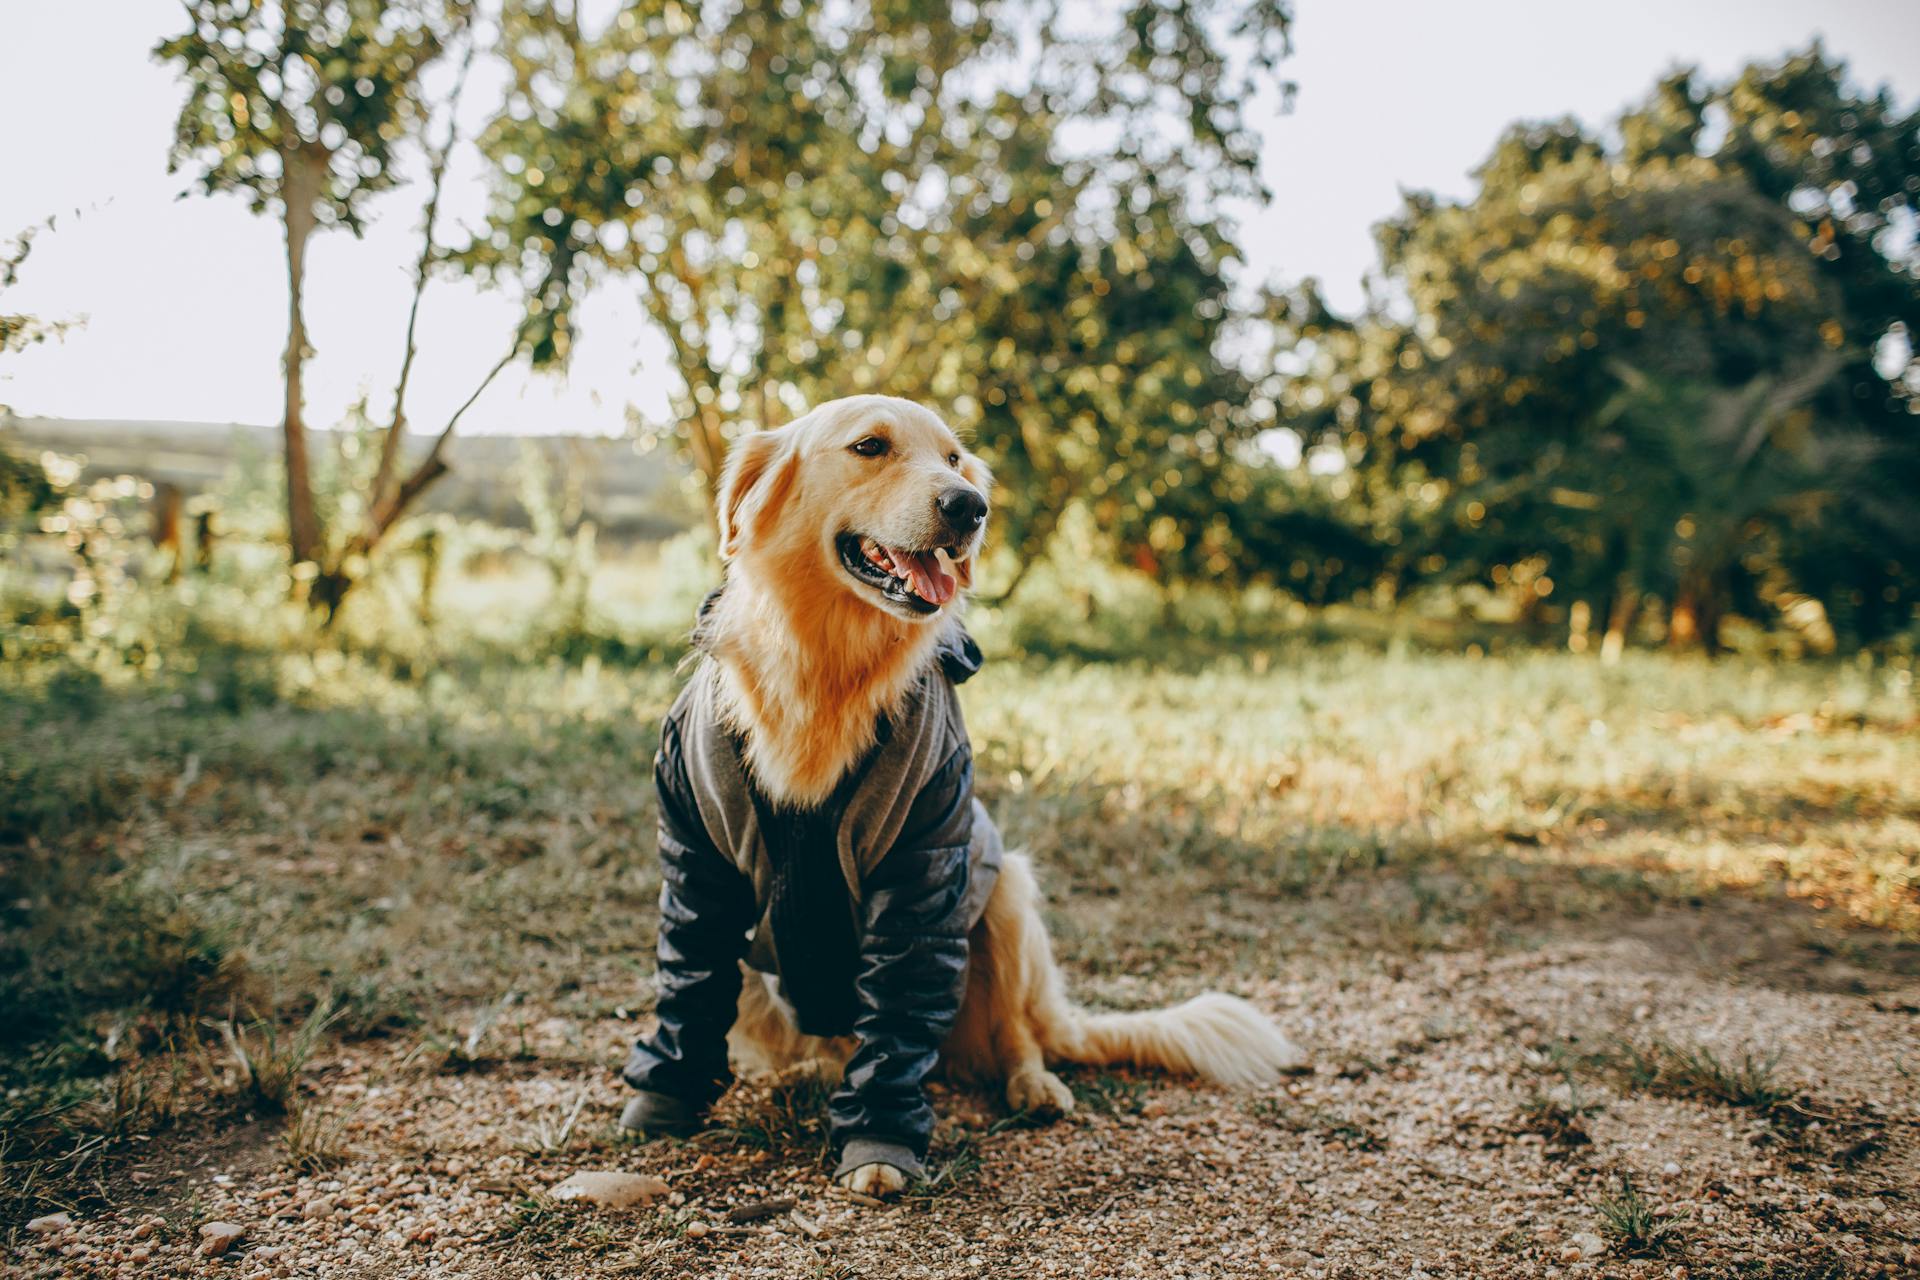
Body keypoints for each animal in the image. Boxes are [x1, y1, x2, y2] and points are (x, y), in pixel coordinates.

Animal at [618, 395, 1305, 1197]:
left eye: (953, 459)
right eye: (870, 446)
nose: (970, 506)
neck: (827, 666)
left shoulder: (926, 856)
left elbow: (897, 1021)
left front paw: (879, 1143)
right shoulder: (697, 860)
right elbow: (689, 987)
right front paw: (663, 1099)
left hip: (1005, 890)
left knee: (1015, 1034)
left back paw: (1032, 1084)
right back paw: (802, 1075)